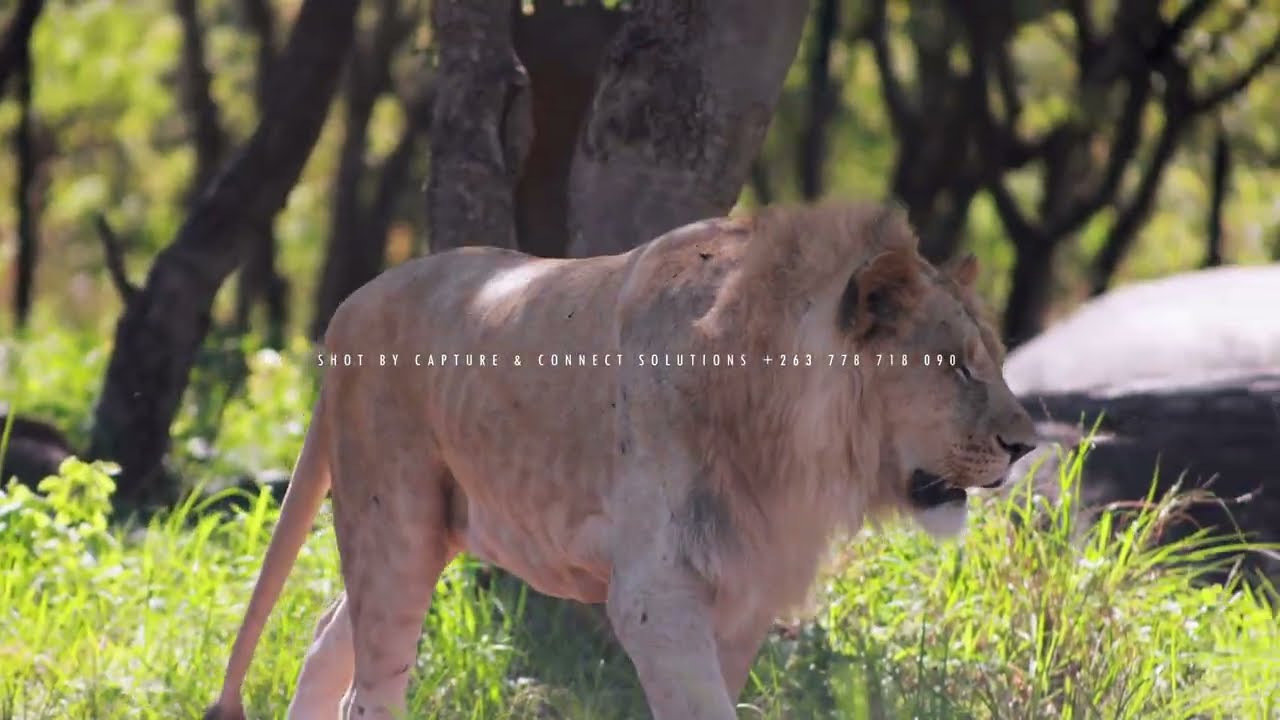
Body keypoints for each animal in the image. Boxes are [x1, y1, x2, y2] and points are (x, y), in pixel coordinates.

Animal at [203, 201, 1037, 720]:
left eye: (996, 358)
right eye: (957, 367)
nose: (1026, 444)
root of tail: (351, 304)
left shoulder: (744, 591)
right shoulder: (655, 592)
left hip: (427, 531)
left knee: (324, 640)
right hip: (393, 522)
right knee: (369, 686)